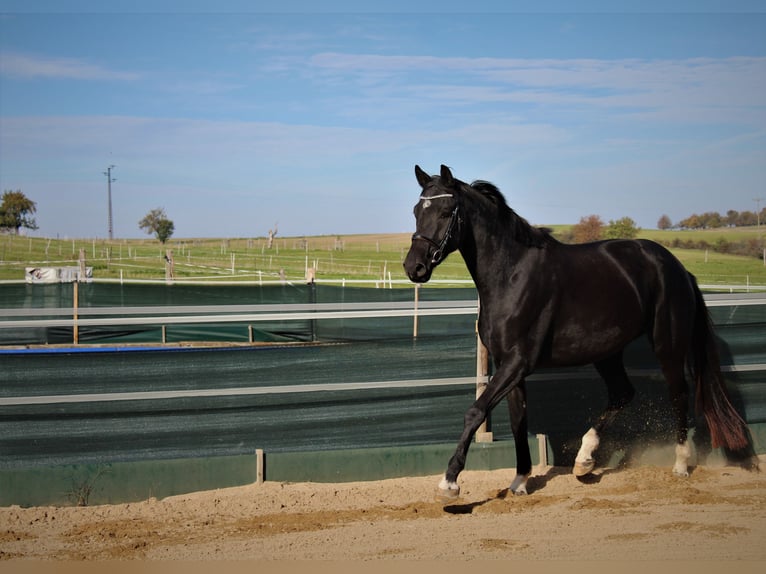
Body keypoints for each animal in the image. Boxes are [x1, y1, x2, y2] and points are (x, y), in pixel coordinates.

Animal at [403, 164, 751, 498]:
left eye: (446, 212)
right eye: (416, 210)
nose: (414, 267)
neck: (512, 274)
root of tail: (677, 268)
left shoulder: (518, 362)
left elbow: (476, 412)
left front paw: (450, 483)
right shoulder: (509, 365)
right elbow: (518, 421)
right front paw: (520, 481)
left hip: (668, 344)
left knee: (678, 394)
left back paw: (680, 464)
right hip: (608, 352)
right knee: (622, 393)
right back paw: (584, 461)